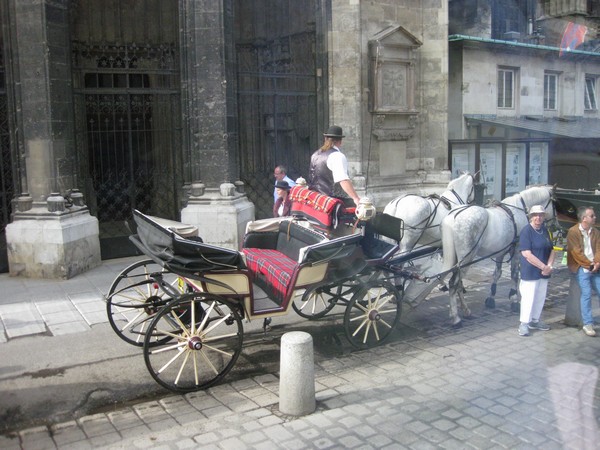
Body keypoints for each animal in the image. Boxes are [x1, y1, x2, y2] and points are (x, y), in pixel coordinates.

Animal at [438, 184, 556, 326]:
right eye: (555, 204)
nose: (555, 225)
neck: (519, 209)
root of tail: (453, 216)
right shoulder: (517, 249)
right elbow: (514, 274)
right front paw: (514, 299)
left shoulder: (501, 250)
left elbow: (497, 273)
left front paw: (491, 297)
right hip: (467, 259)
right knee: (454, 283)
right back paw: (456, 318)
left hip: (460, 260)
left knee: (458, 283)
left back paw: (464, 310)